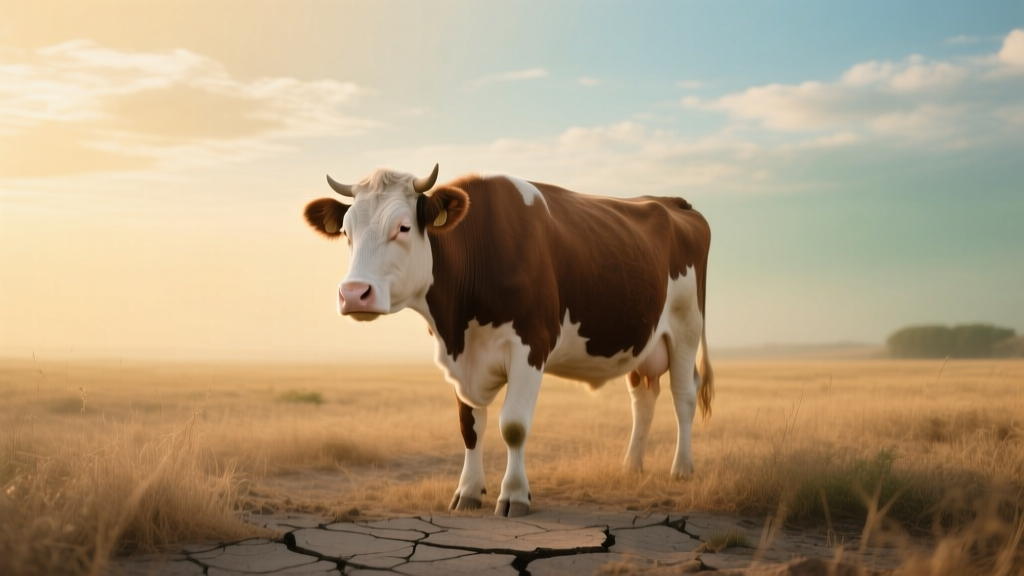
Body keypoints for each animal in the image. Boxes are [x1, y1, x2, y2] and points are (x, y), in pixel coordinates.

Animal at [303, 164, 713, 517]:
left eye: (403, 227)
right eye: (346, 232)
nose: (354, 293)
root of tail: (673, 202)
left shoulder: (530, 346)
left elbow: (513, 425)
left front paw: (514, 495)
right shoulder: (460, 358)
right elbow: (469, 427)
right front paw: (468, 492)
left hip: (686, 327)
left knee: (683, 395)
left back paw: (682, 468)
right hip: (642, 341)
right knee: (643, 397)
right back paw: (631, 467)